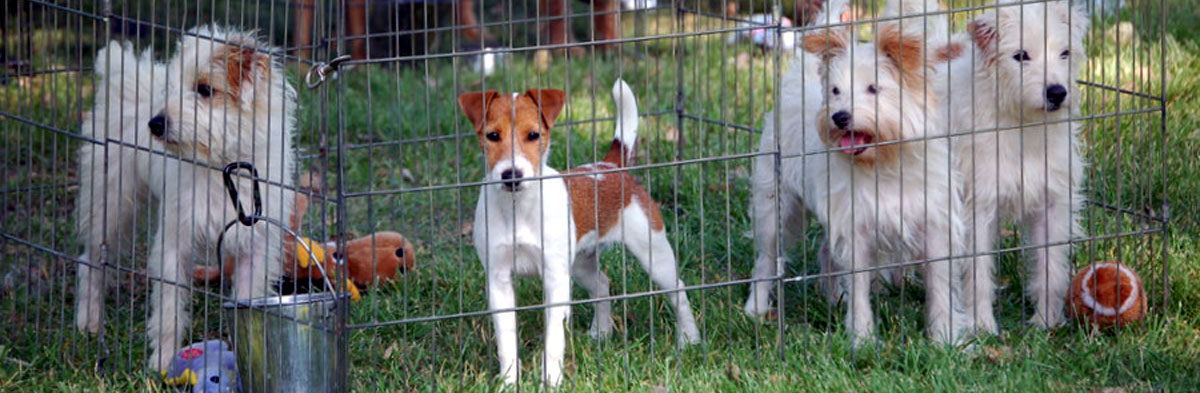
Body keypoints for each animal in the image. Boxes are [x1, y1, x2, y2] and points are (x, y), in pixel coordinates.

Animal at [73, 26, 296, 369]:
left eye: (204, 89)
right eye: (172, 88)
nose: (155, 124)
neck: (222, 165)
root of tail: (127, 76)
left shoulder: (255, 245)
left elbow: (247, 301)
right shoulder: (174, 241)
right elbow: (168, 310)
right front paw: (163, 364)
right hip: (108, 206)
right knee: (91, 263)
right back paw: (89, 322)